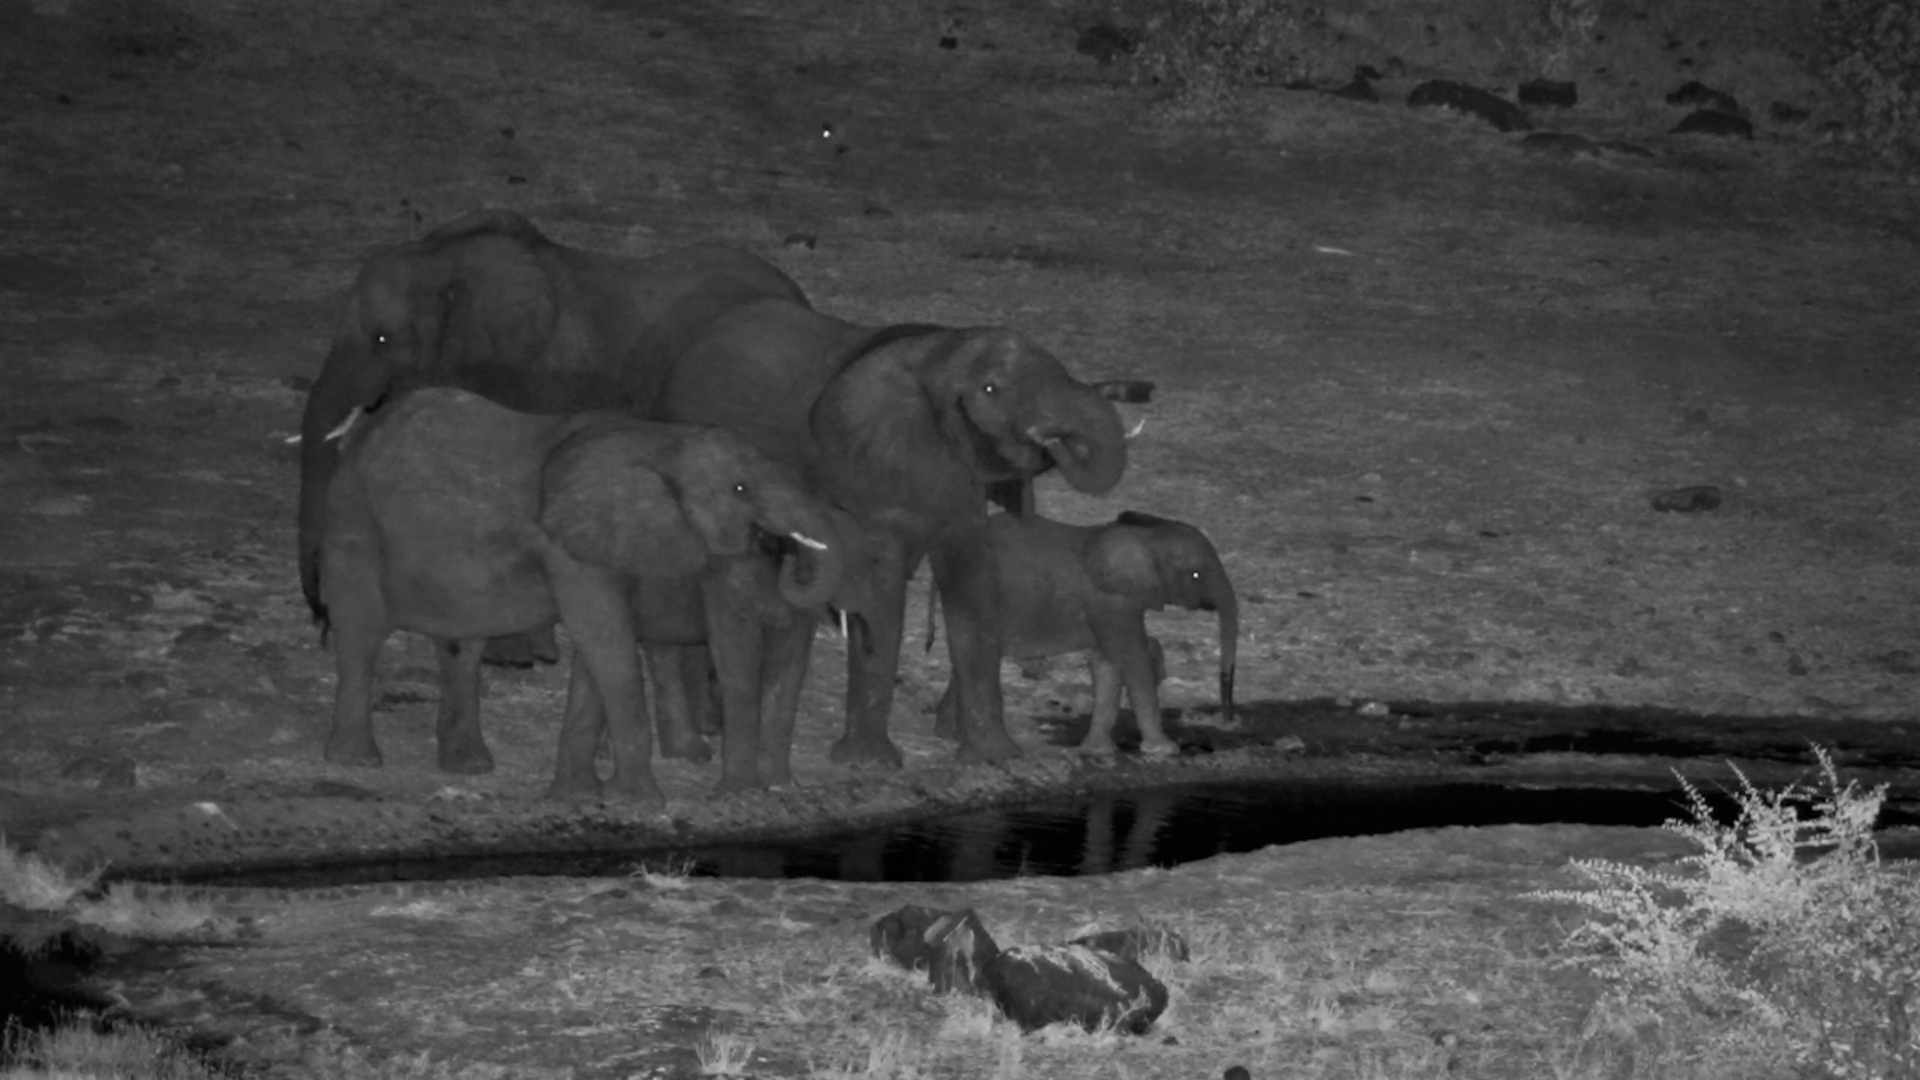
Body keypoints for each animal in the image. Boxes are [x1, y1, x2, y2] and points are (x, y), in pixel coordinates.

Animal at [318, 387, 844, 807]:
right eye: (739, 487)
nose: (787, 550)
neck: (660, 439)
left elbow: (600, 653)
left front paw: (580, 796)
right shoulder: (569, 548)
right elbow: (605, 639)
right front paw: (641, 803)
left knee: (461, 648)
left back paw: (469, 767)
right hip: (352, 522)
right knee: (362, 634)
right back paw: (357, 762)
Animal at [652, 296, 1132, 769]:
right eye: (990, 390)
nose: (1050, 442)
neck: (937, 351)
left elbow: (973, 588)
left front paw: (995, 757)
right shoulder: (869, 475)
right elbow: (881, 591)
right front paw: (869, 764)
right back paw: (709, 728)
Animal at [932, 510, 1237, 755]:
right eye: (1196, 575)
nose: (1228, 720)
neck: (1147, 534)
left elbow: (1107, 665)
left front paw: (1098, 751)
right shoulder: (1109, 602)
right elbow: (1132, 661)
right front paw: (1164, 750)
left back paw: (947, 736)